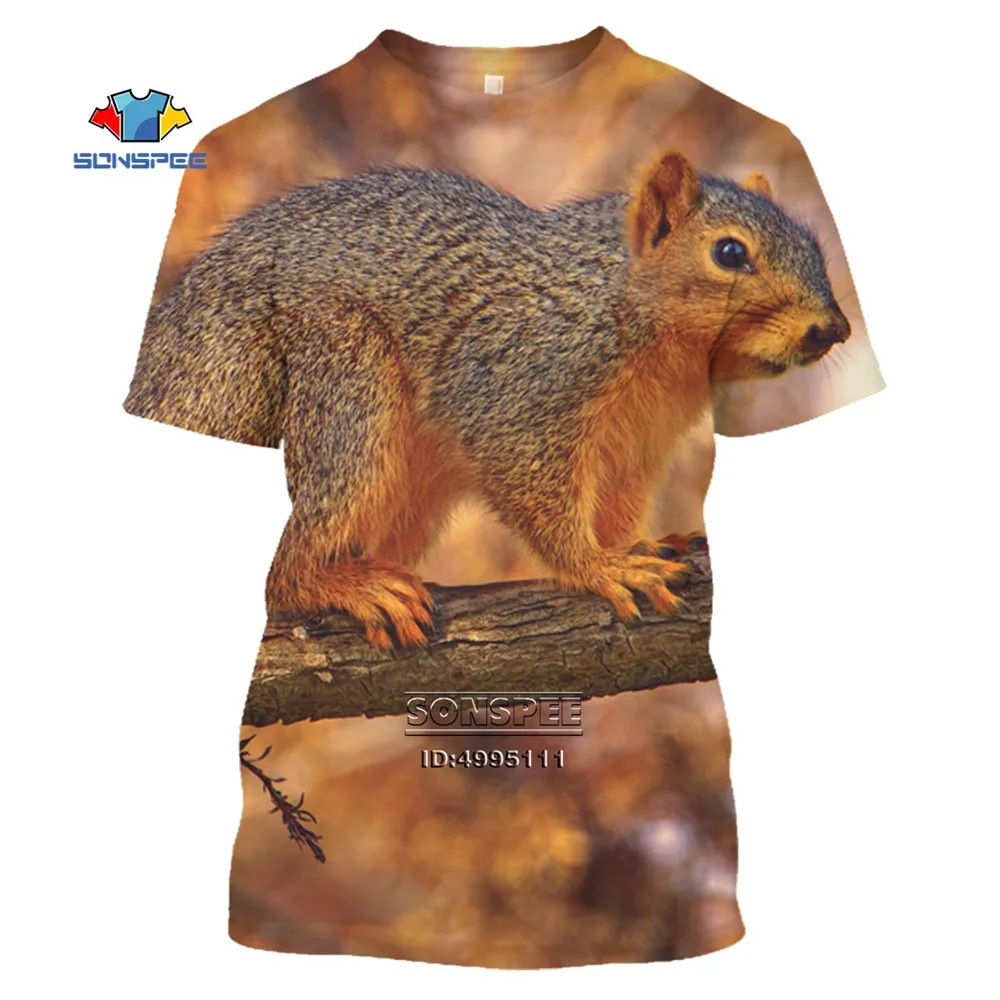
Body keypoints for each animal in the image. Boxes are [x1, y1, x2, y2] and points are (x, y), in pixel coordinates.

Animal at [125, 149, 851, 650]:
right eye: (729, 252)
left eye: (814, 245)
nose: (835, 329)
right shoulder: (519, 388)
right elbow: (533, 490)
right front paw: (599, 566)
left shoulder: (638, 442)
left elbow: (617, 505)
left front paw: (639, 544)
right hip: (344, 378)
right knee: (286, 560)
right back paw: (345, 585)